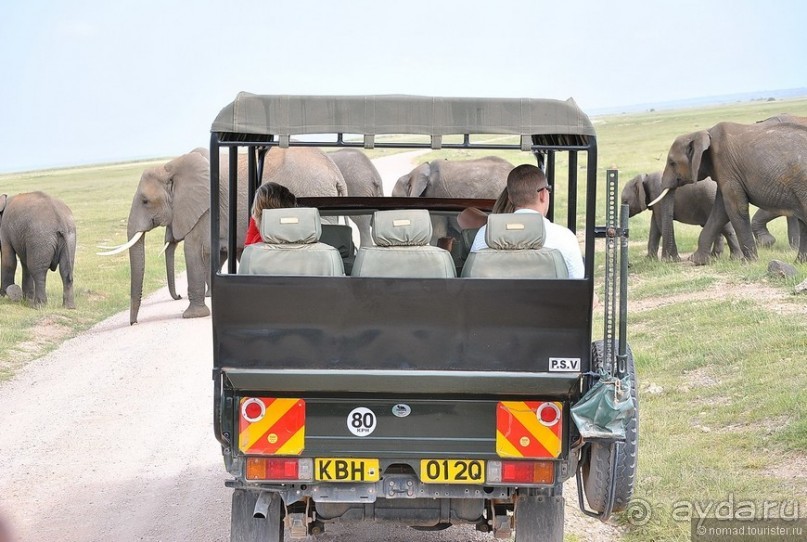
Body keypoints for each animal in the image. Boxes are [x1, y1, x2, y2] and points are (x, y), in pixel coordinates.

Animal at [652, 118, 807, 266]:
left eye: (672, 163)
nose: (673, 259)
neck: (704, 133)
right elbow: (720, 211)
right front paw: (697, 260)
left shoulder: (727, 167)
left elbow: (735, 208)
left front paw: (748, 262)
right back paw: (799, 263)